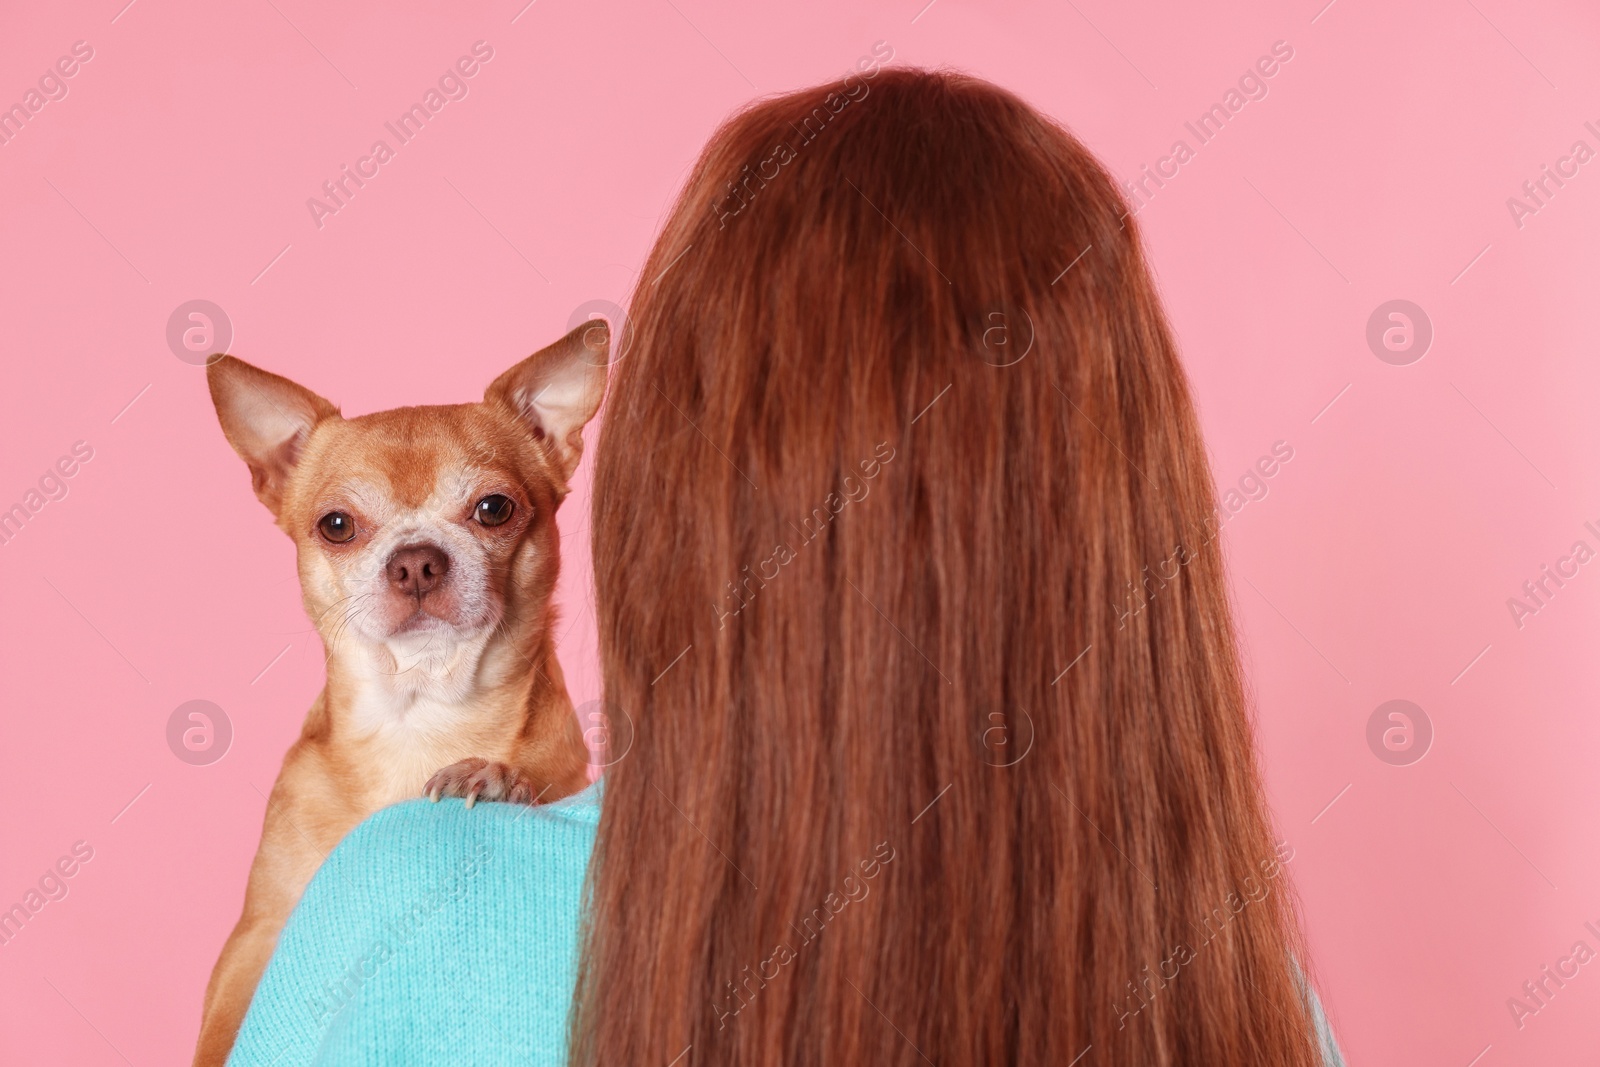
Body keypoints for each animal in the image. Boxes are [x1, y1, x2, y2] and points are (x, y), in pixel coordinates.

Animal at [193, 323, 604, 1067]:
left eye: (494, 509)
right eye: (336, 524)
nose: (416, 559)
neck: (419, 713)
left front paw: (494, 777)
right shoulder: (255, 936)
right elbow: (219, 1032)